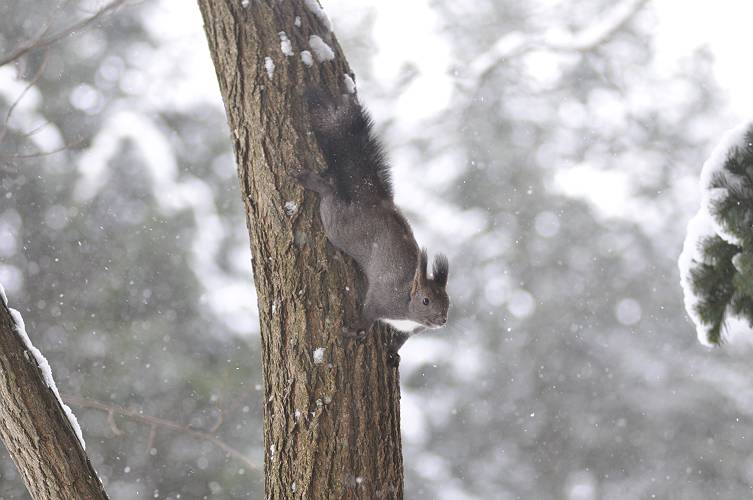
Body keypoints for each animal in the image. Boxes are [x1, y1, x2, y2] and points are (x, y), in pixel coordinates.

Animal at [292, 89, 446, 364]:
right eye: (426, 300)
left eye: (448, 301)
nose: (443, 320)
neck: (407, 300)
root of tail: (374, 201)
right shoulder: (381, 299)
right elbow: (369, 313)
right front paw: (356, 329)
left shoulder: (409, 331)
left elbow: (400, 341)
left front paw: (393, 353)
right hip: (339, 227)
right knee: (329, 195)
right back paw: (313, 182)